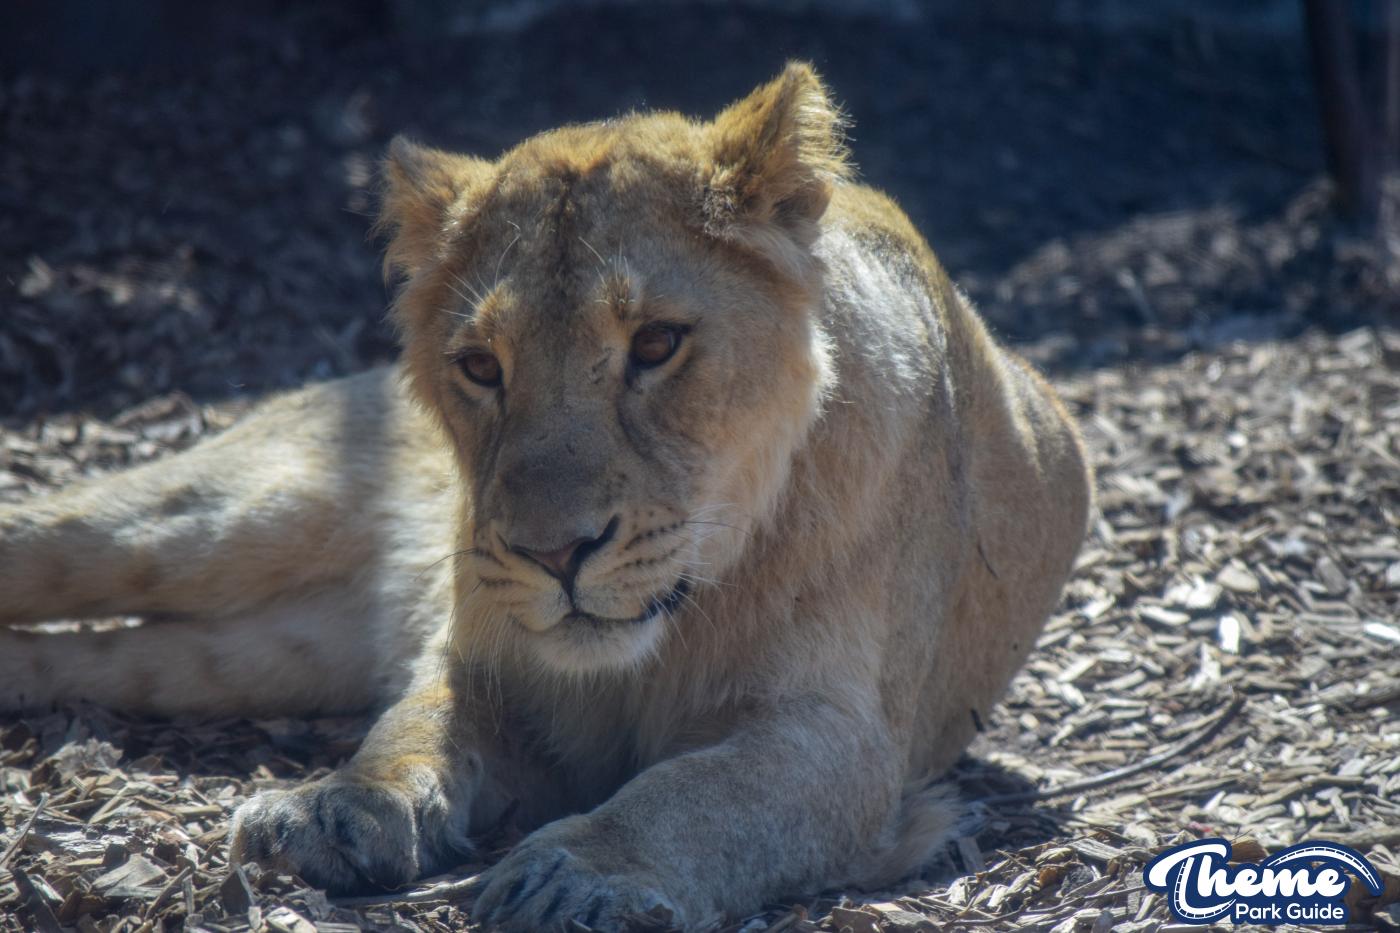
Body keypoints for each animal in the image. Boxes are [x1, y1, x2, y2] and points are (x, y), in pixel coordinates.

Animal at [0, 64, 1091, 930]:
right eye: (482, 366)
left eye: (657, 343)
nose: (552, 555)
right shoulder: (486, 661)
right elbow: (410, 728)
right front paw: (335, 807)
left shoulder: (845, 739)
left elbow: (700, 791)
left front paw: (577, 873)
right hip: (219, 520)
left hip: (252, 655)